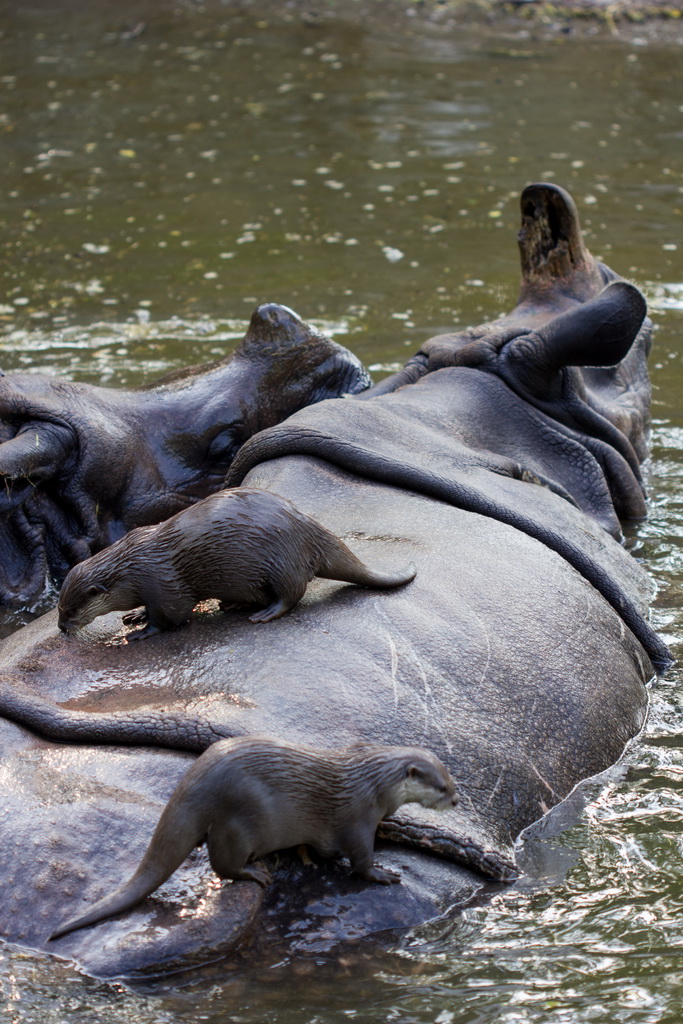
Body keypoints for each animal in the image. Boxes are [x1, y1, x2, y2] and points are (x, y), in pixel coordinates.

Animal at [52, 737, 458, 942]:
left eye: (452, 781)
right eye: (441, 787)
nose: (455, 800)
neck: (374, 787)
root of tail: (191, 786)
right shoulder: (357, 818)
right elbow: (360, 860)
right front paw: (383, 874)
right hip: (241, 821)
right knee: (222, 863)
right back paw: (254, 873)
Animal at [58, 487, 419, 638]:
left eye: (72, 610)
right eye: (60, 608)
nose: (62, 628)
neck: (133, 566)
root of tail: (308, 526)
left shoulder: (164, 585)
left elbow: (173, 615)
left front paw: (145, 631)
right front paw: (136, 614)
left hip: (282, 560)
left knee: (292, 595)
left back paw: (263, 613)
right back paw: (233, 604)